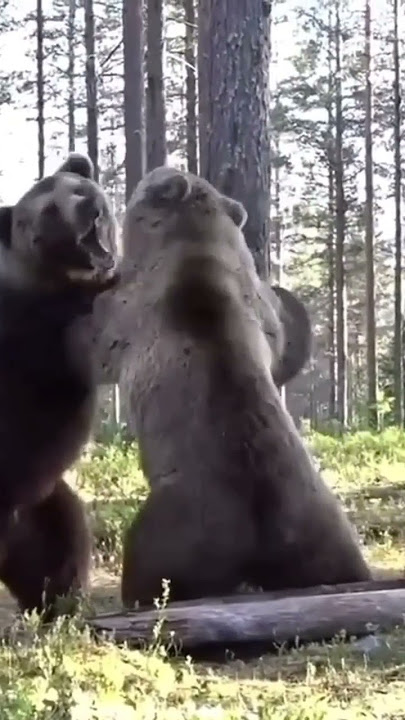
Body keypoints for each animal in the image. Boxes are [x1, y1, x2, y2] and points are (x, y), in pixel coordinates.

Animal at [0, 152, 119, 620]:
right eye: (49, 211)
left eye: (81, 188)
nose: (90, 210)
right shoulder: (29, 332)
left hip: (42, 504)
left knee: (62, 544)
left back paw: (62, 607)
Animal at [119, 166, 371, 608]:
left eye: (149, 180)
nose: (155, 170)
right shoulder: (253, 303)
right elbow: (281, 337)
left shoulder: (133, 307)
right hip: (318, 516)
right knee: (339, 558)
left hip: (179, 517)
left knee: (147, 564)